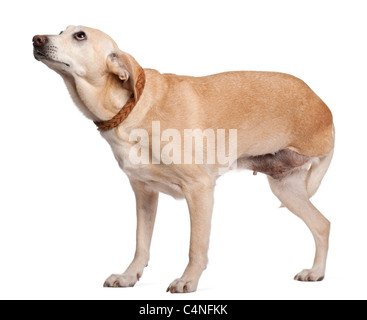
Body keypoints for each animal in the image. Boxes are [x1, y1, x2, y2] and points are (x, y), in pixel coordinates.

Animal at [33, 26, 334, 294]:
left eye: (79, 35)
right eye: (61, 31)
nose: (36, 39)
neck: (131, 108)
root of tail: (323, 106)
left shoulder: (200, 189)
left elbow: (195, 247)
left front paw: (188, 280)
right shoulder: (144, 194)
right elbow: (141, 243)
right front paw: (130, 276)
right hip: (286, 190)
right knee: (323, 225)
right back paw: (317, 272)